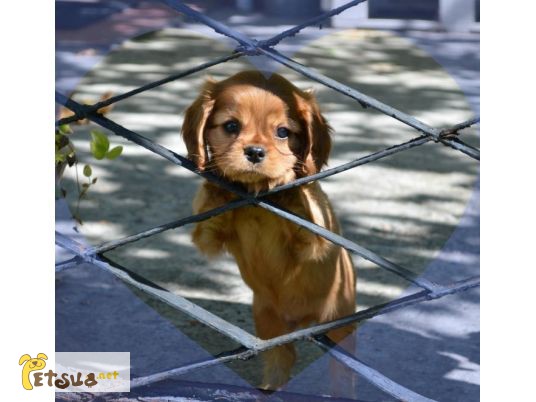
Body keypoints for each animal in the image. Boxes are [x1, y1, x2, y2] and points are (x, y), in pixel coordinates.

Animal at [183, 70, 356, 390]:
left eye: (283, 132)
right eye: (231, 126)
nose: (254, 151)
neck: (256, 201)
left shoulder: (313, 240)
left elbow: (302, 201)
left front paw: (284, 176)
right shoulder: (209, 235)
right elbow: (210, 209)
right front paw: (218, 178)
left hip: (339, 323)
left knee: (341, 373)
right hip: (268, 327)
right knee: (281, 360)